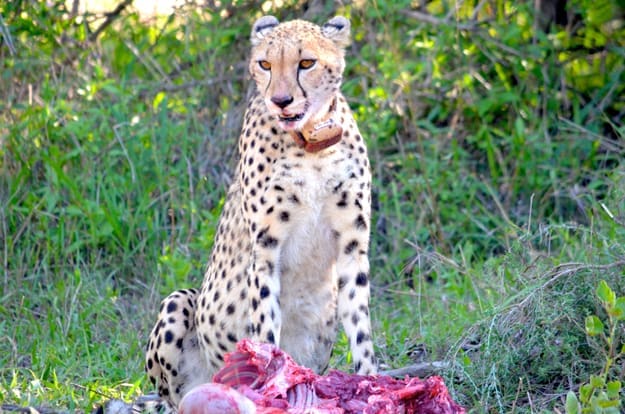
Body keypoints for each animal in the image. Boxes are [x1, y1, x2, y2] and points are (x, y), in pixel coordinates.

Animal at [143, 15, 377, 411]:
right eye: (265, 64)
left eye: (306, 62)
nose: (281, 101)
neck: (311, 144)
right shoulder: (266, 249)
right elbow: (265, 323)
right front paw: (270, 383)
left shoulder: (352, 246)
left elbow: (361, 327)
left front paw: (373, 383)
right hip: (179, 303)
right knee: (174, 397)